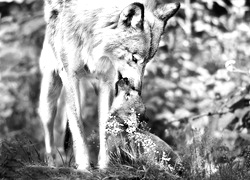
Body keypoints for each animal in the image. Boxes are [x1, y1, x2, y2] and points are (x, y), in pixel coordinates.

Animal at [38, 0, 180, 172]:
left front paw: (104, 165)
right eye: (134, 58)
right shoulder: (70, 77)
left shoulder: (106, 81)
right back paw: (53, 163)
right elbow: (78, 128)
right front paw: (84, 166)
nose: (137, 88)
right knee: (50, 128)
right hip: (50, 92)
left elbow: (104, 125)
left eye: (148, 60)